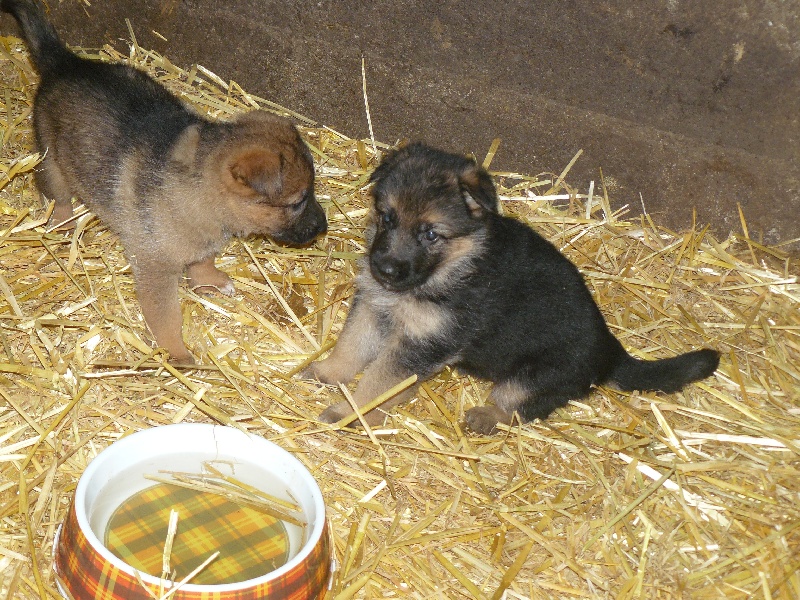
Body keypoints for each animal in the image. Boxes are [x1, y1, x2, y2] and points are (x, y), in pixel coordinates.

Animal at [2, 0, 328, 360]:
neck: (202, 190)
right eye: (298, 201)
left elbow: (203, 260)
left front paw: (209, 280)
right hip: (51, 156)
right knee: (53, 191)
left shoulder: (201, 240)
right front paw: (177, 354)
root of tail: (66, 62)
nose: (323, 228)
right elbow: (166, 317)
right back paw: (62, 221)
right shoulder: (155, 268)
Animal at [304, 145, 720, 436]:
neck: (453, 265)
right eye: (387, 218)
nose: (385, 269)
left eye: (431, 234)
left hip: (533, 378)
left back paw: (486, 416)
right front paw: (328, 371)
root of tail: (610, 352)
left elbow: (378, 379)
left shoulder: (422, 343)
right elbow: (352, 345)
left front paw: (349, 412)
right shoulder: (374, 306)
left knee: (515, 406)